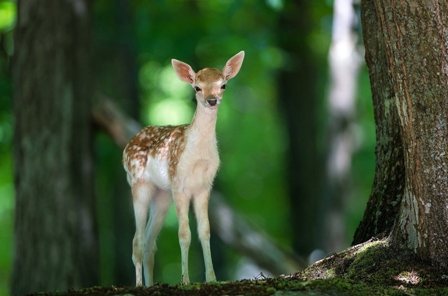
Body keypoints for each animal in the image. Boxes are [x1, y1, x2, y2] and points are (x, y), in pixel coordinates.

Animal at [122, 51, 245, 286]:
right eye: (197, 87)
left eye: (223, 85)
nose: (212, 100)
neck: (198, 156)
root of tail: (126, 147)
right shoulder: (179, 184)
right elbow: (184, 234)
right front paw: (185, 280)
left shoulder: (204, 187)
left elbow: (205, 231)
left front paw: (212, 279)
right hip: (139, 184)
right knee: (136, 240)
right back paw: (139, 285)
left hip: (162, 194)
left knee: (149, 242)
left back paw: (150, 284)